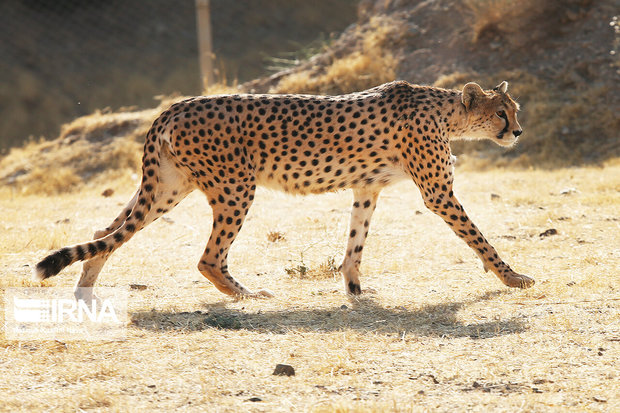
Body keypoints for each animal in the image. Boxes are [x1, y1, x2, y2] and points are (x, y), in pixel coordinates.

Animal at [36, 80, 536, 300]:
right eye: (501, 112)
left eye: (513, 110)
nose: (517, 132)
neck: (446, 112)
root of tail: (175, 105)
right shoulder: (437, 193)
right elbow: (480, 238)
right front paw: (513, 277)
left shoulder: (366, 187)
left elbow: (355, 241)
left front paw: (353, 287)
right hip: (235, 187)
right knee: (207, 258)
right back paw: (246, 294)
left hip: (167, 188)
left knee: (106, 232)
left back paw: (85, 288)